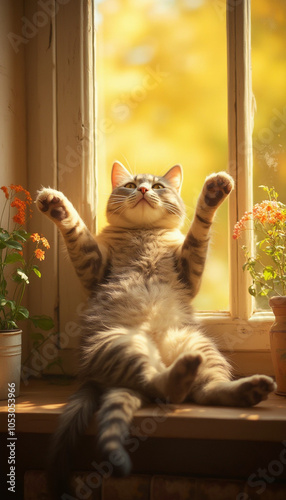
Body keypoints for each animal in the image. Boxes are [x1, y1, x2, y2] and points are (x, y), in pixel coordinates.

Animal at [35, 163, 274, 496]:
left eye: (159, 186)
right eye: (131, 185)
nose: (144, 190)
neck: (143, 233)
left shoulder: (188, 267)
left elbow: (198, 233)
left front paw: (212, 194)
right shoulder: (93, 267)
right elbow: (78, 232)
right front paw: (57, 206)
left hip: (198, 345)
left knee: (202, 391)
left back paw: (244, 388)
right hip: (122, 343)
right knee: (159, 386)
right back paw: (180, 375)